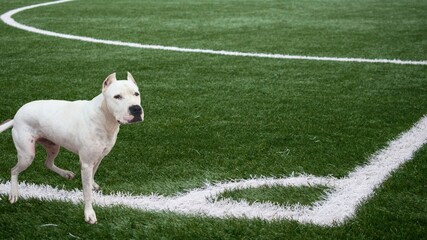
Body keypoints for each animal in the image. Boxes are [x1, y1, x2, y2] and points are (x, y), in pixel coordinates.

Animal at [0, 72, 144, 224]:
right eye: (117, 96)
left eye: (136, 93)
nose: (136, 109)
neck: (104, 118)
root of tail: (15, 116)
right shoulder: (86, 163)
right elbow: (87, 192)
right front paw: (89, 213)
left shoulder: (98, 158)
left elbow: (91, 178)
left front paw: (92, 184)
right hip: (27, 154)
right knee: (14, 170)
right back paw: (14, 193)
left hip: (53, 145)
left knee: (47, 163)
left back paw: (65, 174)